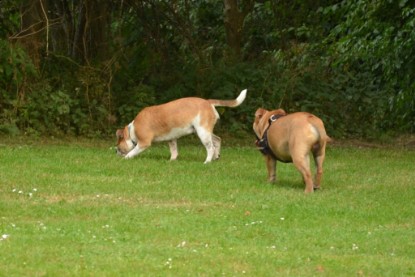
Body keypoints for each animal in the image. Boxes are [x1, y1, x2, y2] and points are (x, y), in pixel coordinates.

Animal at [116, 89, 247, 162]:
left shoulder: (143, 143)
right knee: (217, 140)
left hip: (202, 132)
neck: (132, 130)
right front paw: (171, 161)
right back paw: (216, 157)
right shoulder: (171, 139)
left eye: (118, 146)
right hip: (204, 131)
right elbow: (174, 151)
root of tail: (208, 102)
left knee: (210, 147)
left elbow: (132, 152)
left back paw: (207, 161)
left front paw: (125, 158)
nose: (115, 152)